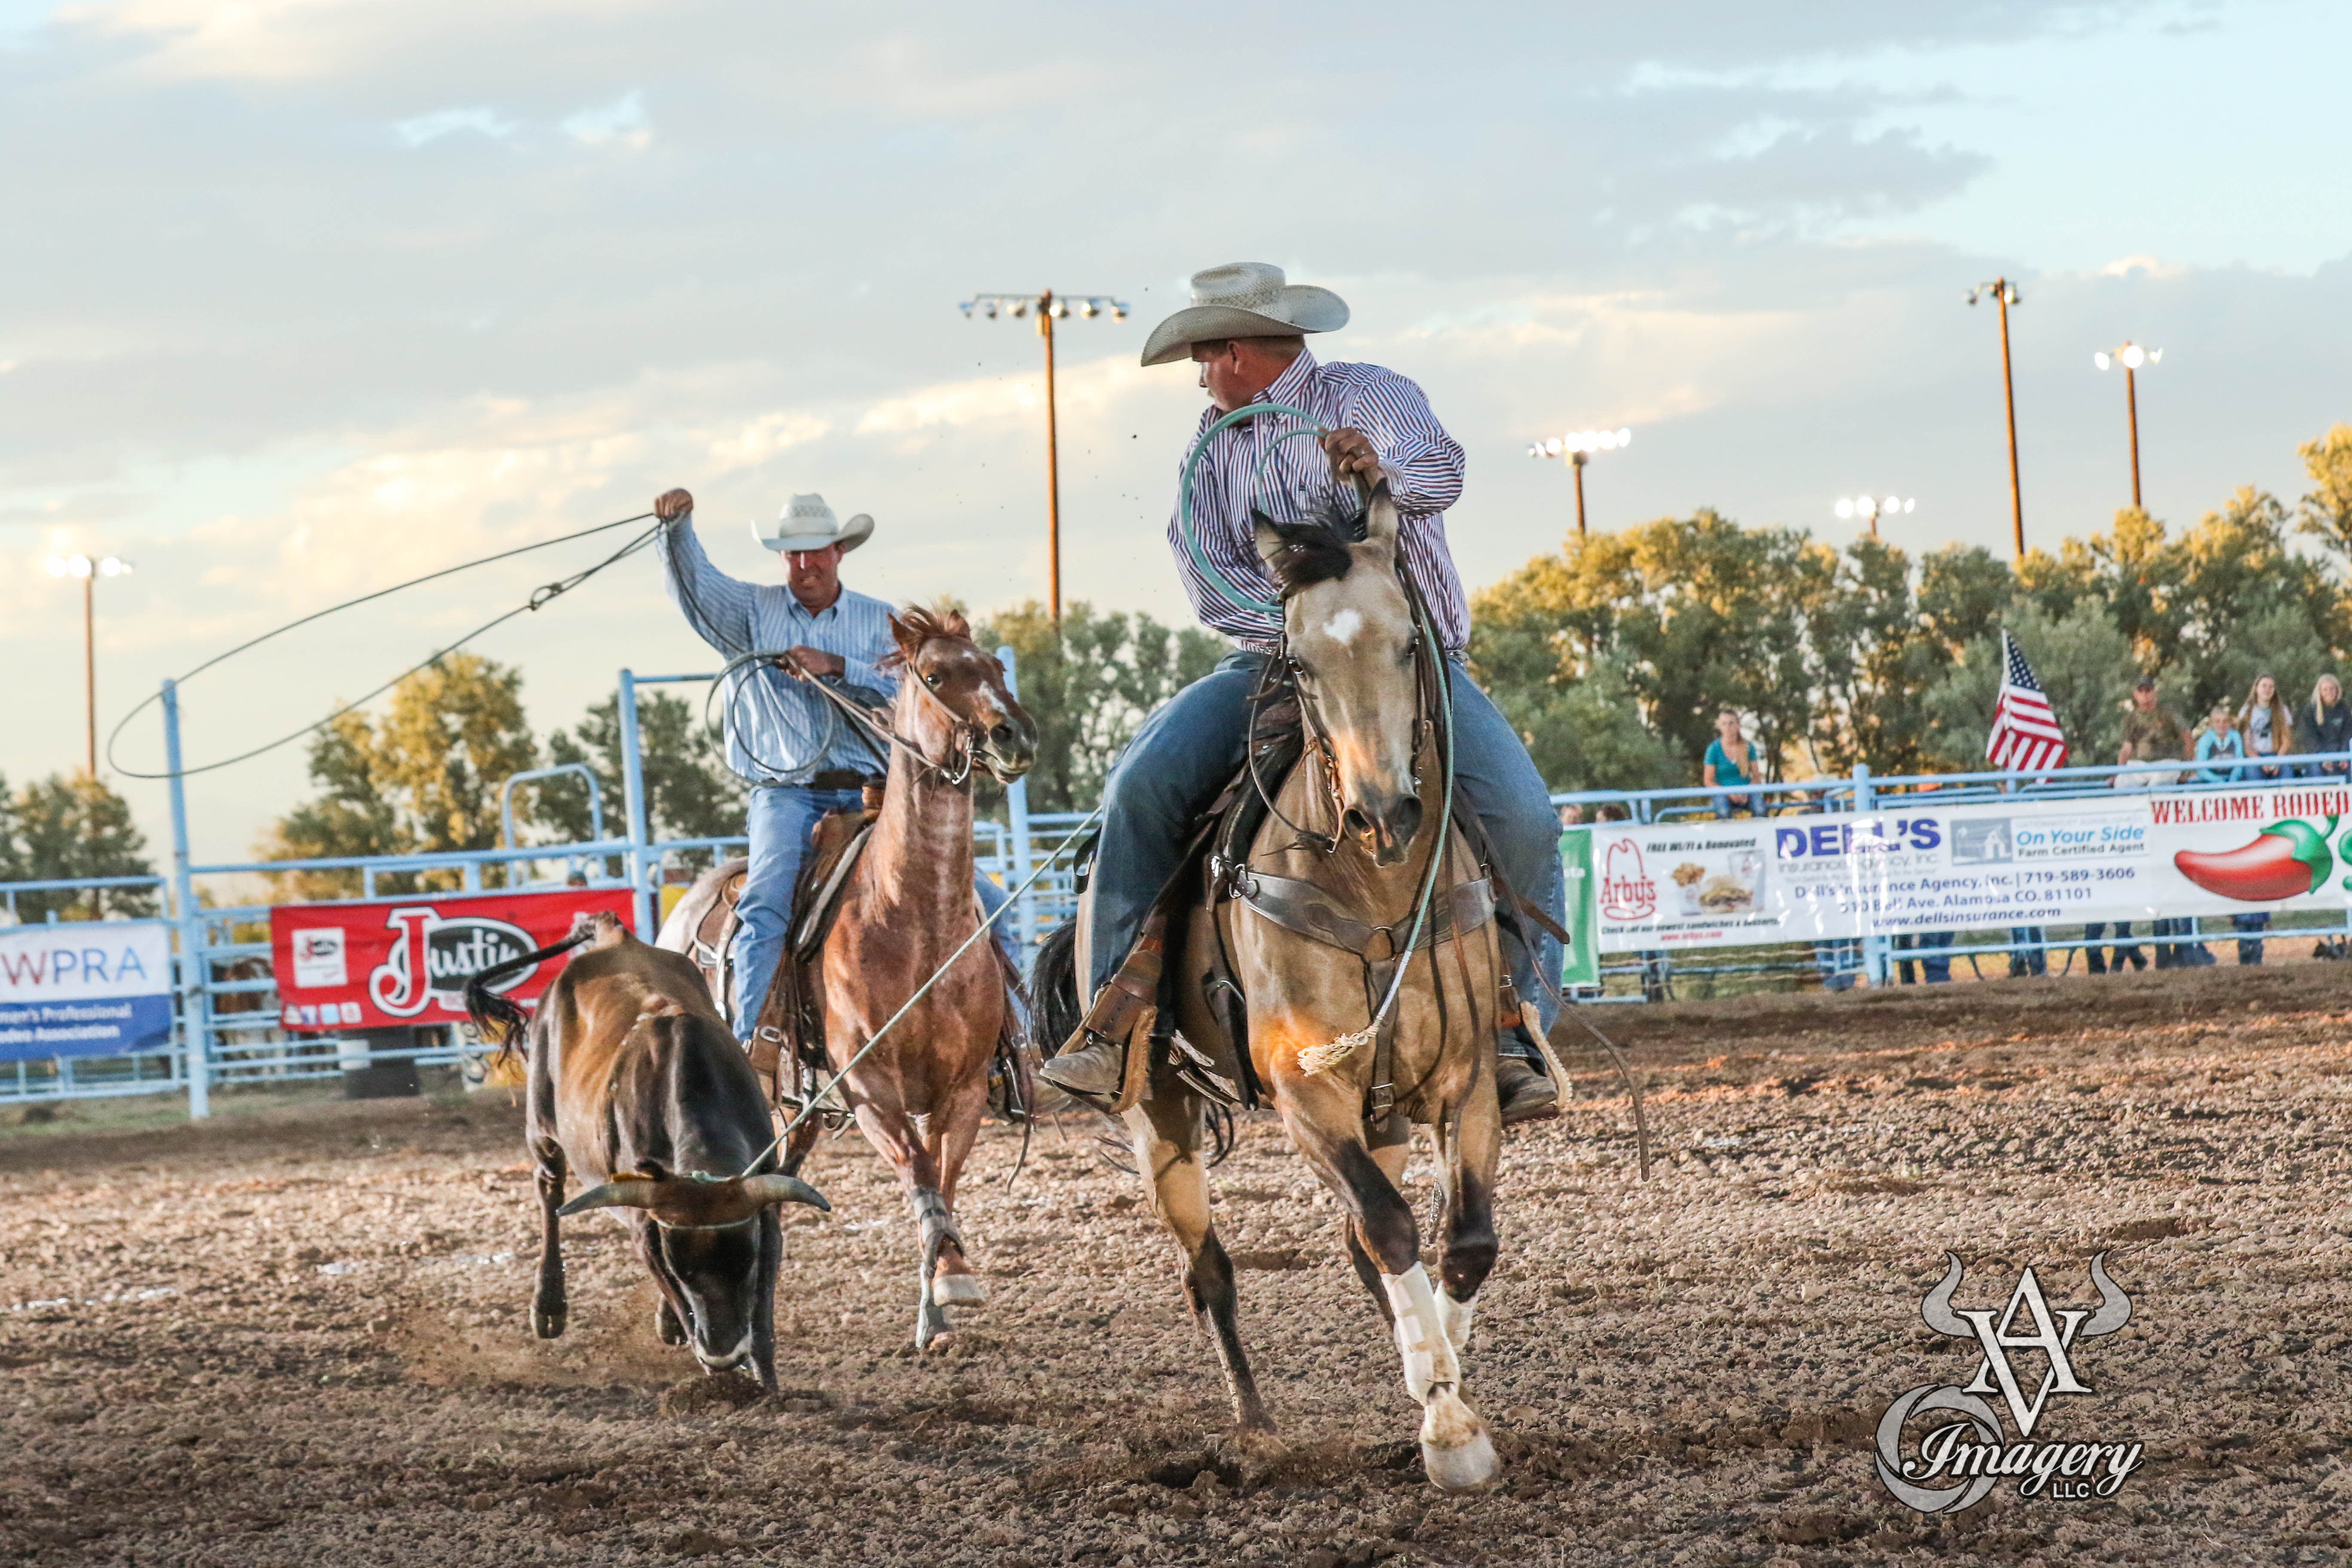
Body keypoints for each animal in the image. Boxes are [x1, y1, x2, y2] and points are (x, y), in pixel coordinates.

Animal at [459, 912, 828, 1391]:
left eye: (744, 1263)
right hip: (542, 1128)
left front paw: (766, 1384)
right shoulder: (645, 1231)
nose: (724, 1354)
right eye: (680, 1271)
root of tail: (612, 935)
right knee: (549, 1192)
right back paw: (549, 1305)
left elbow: (762, 1314)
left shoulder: (764, 1214)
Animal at [658, 606, 1035, 1344]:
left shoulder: (963, 1089)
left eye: (998, 667)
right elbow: (917, 1168)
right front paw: (948, 1281)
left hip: (798, 1105)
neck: (914, 918)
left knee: (772, 1175)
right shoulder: (869, 1086)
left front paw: (943, 1292)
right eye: (934, 674)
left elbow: (941, 1178)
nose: (1015, 734)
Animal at [1039, 484, 1514, 1495]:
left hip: (1386, 1114)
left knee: (1360, 1244)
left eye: (1408, 642)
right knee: (1211, 1269)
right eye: (1297, 662)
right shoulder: (1304, 1088)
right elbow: (1391, 1227)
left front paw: (1447, 1387)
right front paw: (1448, 1425)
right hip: (1159, 1117)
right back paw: (1255, 1431)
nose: (1384, 811)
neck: (1376, 893)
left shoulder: (1467, 1081)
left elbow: (1462, 1240)